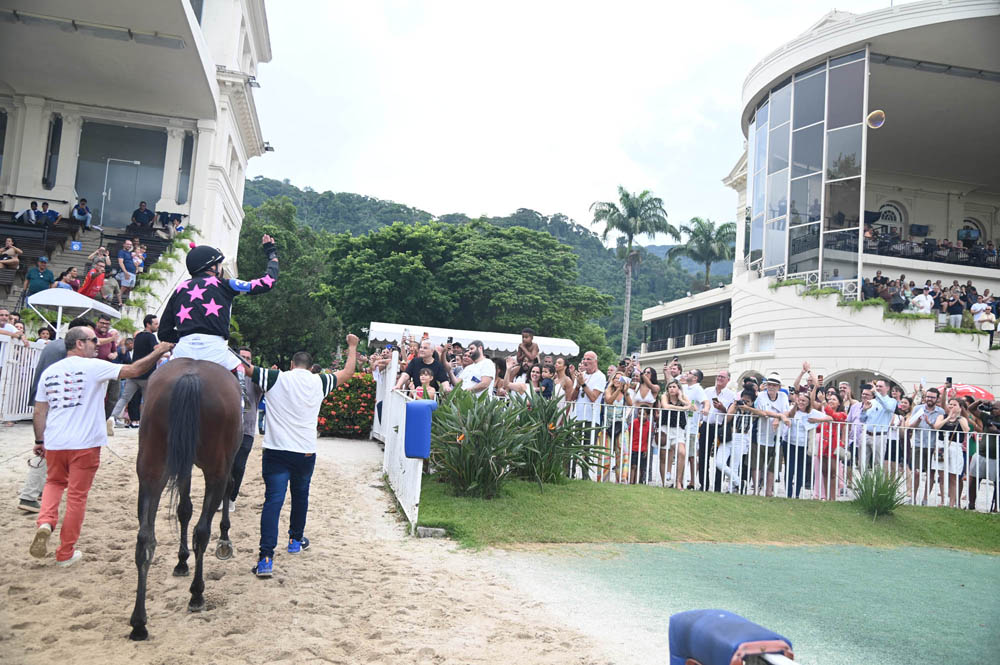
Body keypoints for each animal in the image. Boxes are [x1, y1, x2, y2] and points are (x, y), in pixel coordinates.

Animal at [128, 358, 243, 641]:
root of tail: (191, 376)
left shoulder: (184, 463)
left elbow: (183, 510)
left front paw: (181, 561)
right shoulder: (224, 465)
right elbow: (224, 493)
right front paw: (225, 540)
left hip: (151, 468)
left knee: (145, 538)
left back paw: (139, 623)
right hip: (215, 470)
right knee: (202, 531)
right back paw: (197, 594)